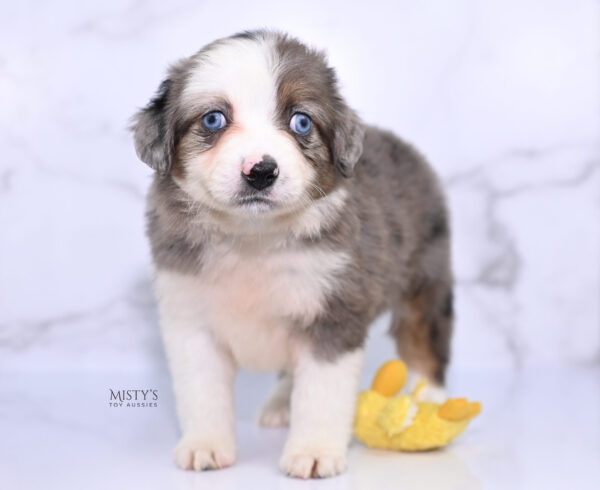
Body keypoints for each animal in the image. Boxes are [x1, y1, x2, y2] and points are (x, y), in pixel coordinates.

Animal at [130, 29, 450, 478]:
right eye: (213, 119)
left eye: (301, 121)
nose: (261, 171)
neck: (253, 238)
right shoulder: (190, 317)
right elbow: (202, 392)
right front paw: (205, 445)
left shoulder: (334, 312)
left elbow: (321, 393)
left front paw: (313, 452)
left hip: (426, 276)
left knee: (424, 342)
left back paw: (430, 402)